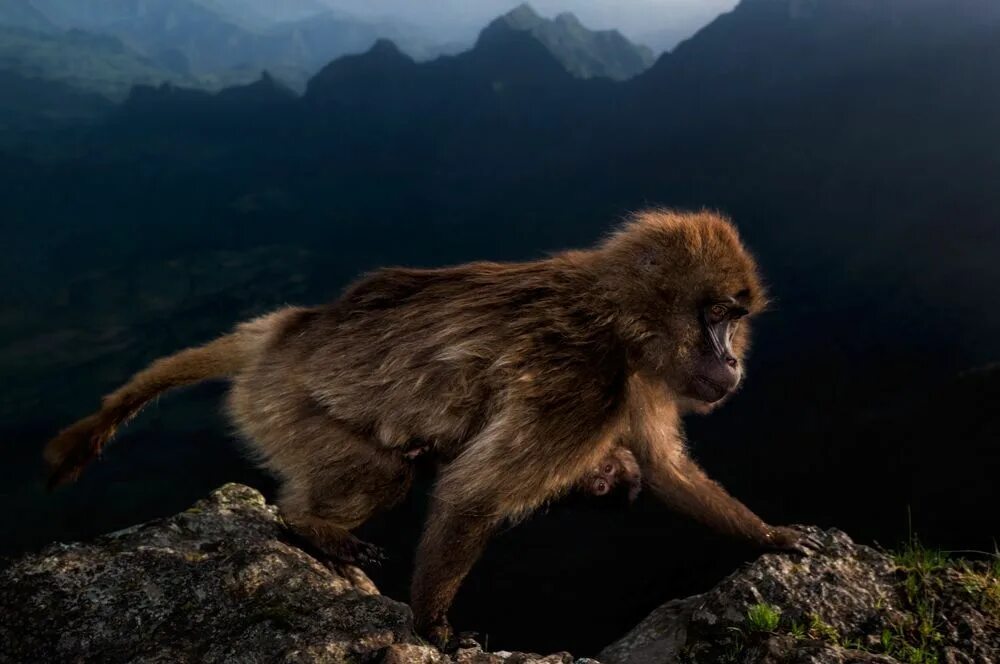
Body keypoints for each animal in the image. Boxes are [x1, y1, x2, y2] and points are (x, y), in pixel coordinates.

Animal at [43, 210, 816, 644]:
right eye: (716, 317)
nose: (732, 362)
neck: (621, 318)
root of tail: (286, 333)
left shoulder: (640, 381)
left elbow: (664, 471)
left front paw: (771, 537)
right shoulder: (583, 381)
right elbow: (475, 495)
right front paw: (432, 627)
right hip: (279, 405)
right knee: (382, 471)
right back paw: (307, 524)